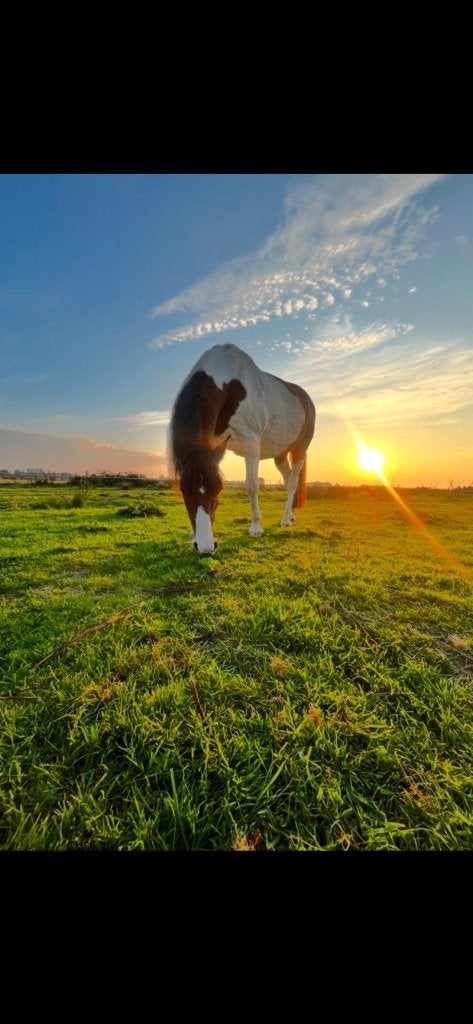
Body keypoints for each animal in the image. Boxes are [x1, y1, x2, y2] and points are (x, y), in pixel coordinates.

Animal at [169, 343, 316, 554]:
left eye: (217, 491)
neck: (228, 383)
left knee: (293, 482)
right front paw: (192, 533)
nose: (205, 547)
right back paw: (291, 514)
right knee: (288, 479)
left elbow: (252, 485)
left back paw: (285, 520)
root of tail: (305, 398)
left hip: (299, 450)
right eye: (184, 491)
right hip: (280, 454)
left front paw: (255, 527)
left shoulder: (251, 444)